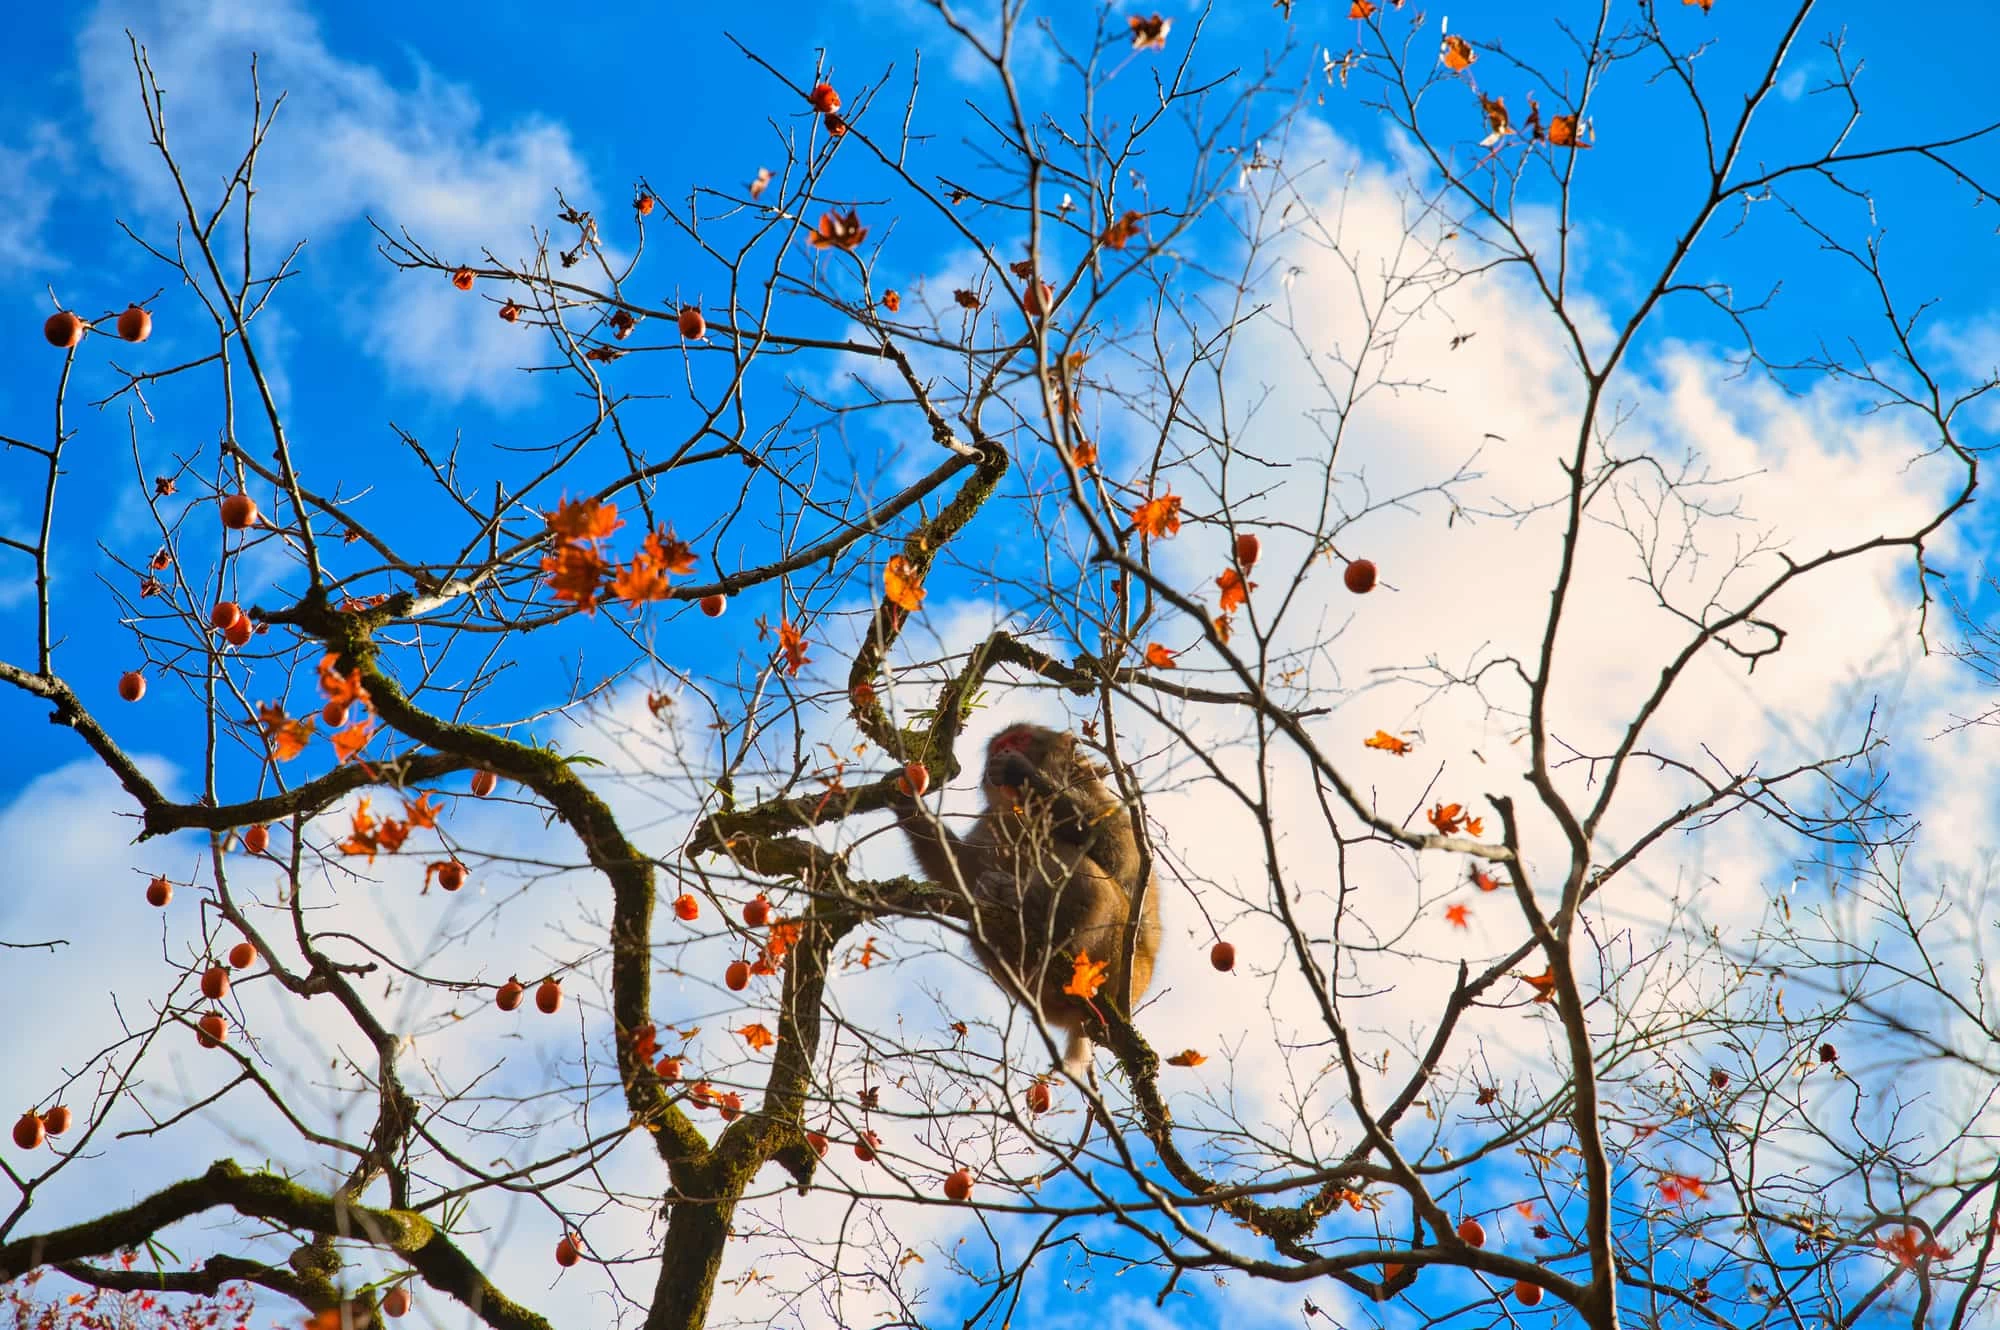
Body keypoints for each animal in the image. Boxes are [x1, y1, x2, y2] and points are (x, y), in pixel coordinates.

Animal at [894, 722, 1161, 1074]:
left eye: (1018, 741)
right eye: (999, 746)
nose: (1004, 752)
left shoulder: (1100, 796)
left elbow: (1119, 854)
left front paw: (1021, 773)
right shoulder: (995, 818)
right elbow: (963, 870)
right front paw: (909, 806)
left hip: (1114, 962)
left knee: (1075, 862)